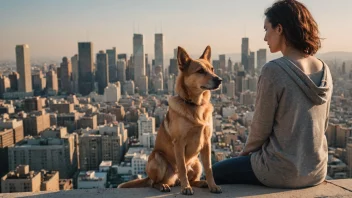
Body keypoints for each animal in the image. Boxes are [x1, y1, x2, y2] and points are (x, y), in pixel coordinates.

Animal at [118, 45, 223, 195]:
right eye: (200, 71)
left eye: (212, 69)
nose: (219, 80)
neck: (195, 105)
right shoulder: (178, 143)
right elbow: (182, 168)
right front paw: (186, 188)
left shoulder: (207, 142)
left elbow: (209, 168)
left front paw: (213, 185)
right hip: (158, 159)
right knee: (154, 182)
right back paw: (164, 185)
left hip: (196, 163)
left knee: (191, 178)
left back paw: (200, 183)